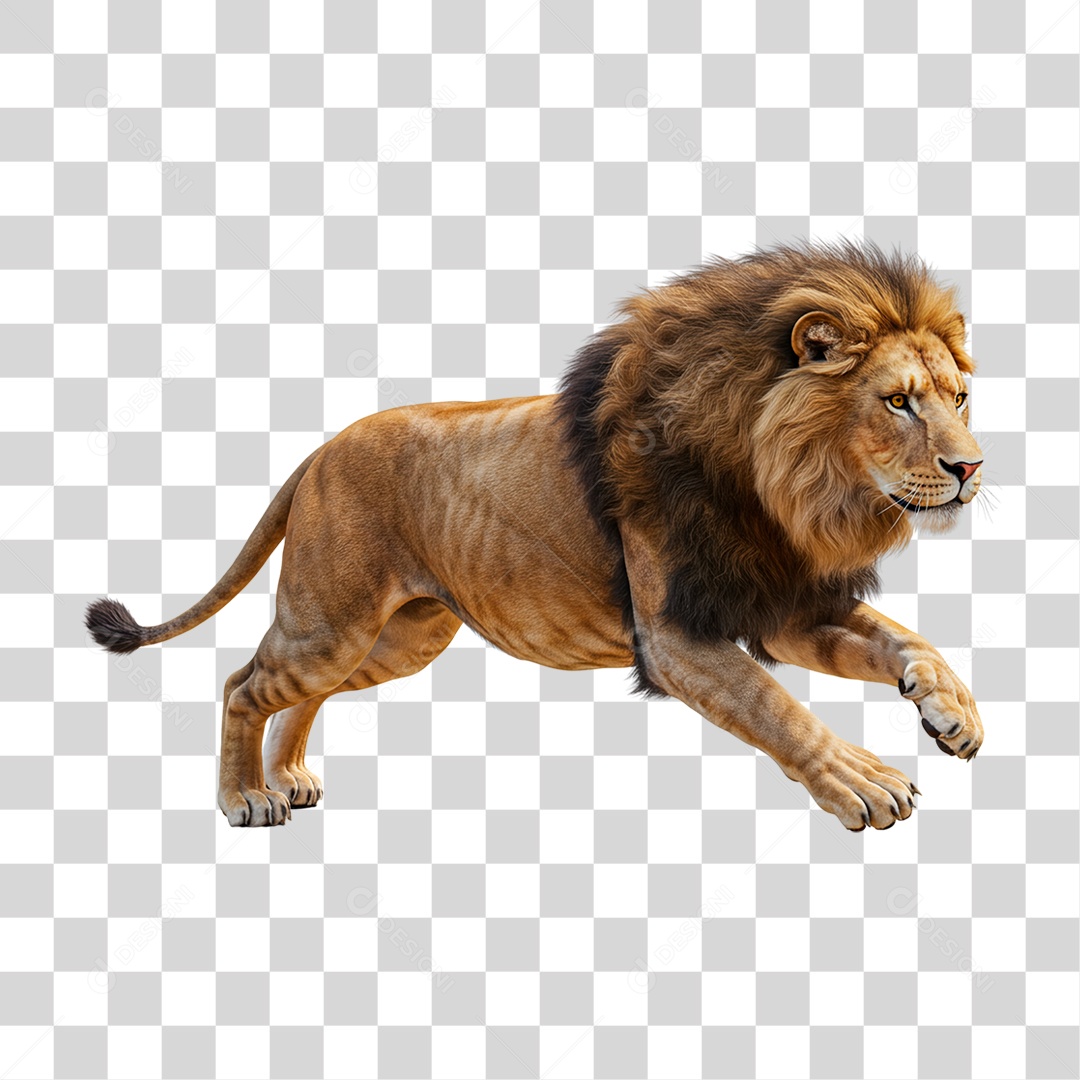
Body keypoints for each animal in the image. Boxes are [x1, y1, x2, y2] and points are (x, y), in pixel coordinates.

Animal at [87, 238, 984, 830]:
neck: (787, 494)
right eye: (897, 402)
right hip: (329, 621)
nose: (971, 467)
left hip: (396, 636)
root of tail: (322, 449)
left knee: (301, 691)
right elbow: (776, 709)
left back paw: (290, 775)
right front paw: (862, 781)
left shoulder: (779, 603)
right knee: (244, 684)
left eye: (957, 397)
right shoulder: (675, 635)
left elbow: (907, 641)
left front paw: (951, 712)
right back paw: (245, 796)